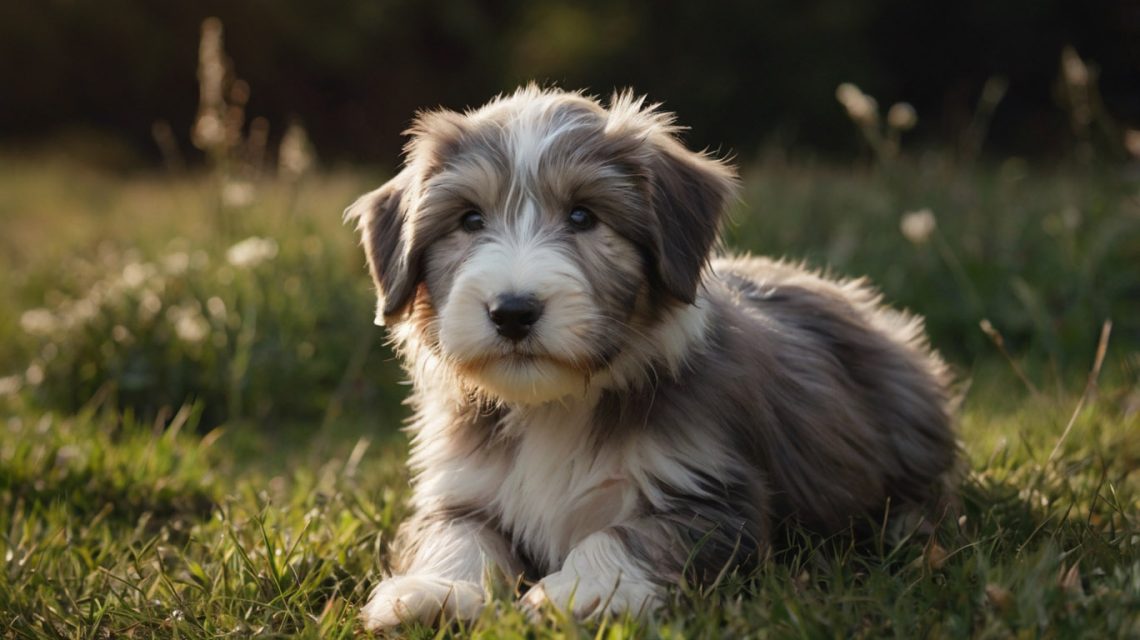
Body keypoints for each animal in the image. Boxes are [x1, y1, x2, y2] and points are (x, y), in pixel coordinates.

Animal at [344, 84, 953, 629]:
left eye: (583, 216)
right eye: (470, 220)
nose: (513, 311)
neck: (557, 404)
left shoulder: (713, 497)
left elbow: (625, 535)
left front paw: (582, 592)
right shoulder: (462, 489)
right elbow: (456, 536)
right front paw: (436, 593)